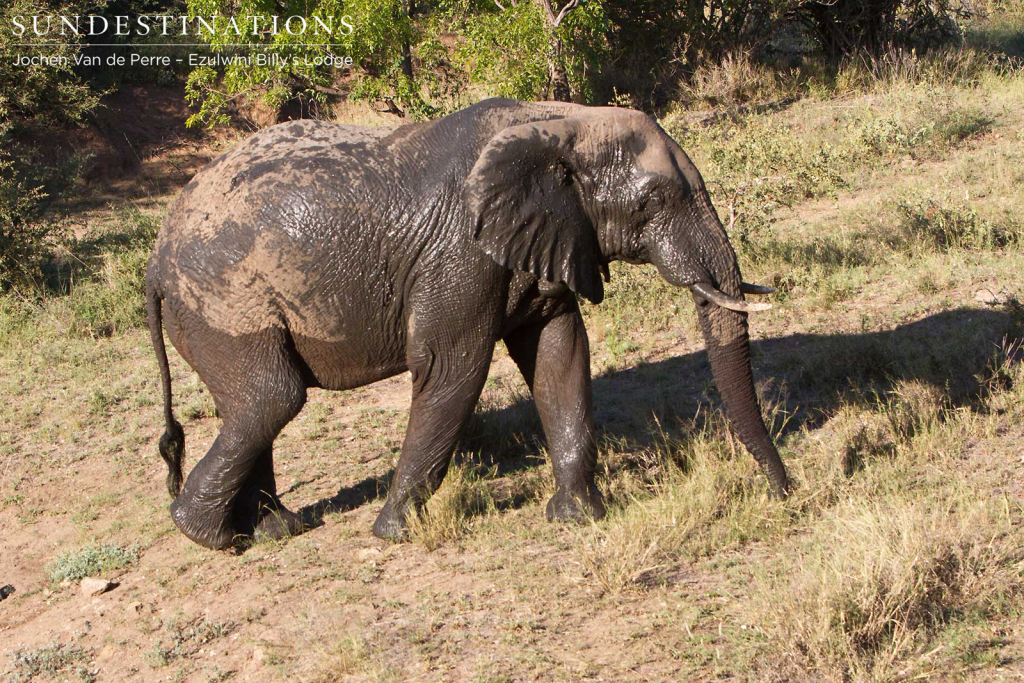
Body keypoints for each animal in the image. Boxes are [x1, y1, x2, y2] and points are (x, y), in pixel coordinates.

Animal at [144, 98, 786, 552]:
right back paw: (213, 537)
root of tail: (153, 263)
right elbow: (453, 368)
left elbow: (560, 353)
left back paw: (275, 530)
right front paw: (393, 533)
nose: (785, 491)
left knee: (253, 405)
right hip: (224, 303)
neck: (561, 123)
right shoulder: (458, 254)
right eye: (653, 202)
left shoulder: (543, 240)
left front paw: (578, 518)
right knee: (272, 397)